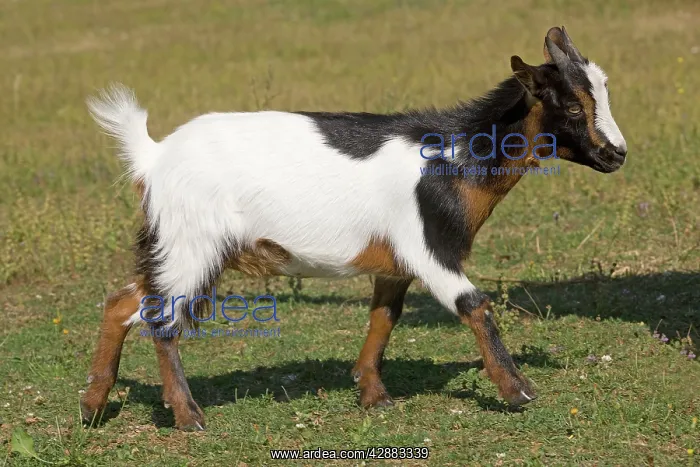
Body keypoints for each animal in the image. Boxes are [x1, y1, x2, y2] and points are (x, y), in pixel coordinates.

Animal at [81, 26, 627, 430]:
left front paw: (373, 394)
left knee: (123, 302)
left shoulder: (395, 262)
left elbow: (384, 316)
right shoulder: (429, 247)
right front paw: (518, 392)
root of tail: (153, 157)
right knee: (161, 318)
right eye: (572, 105)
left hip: (170, 244)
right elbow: (475, 304)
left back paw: (92, 407)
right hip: (192, 243)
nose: (616, 154)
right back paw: (188, 416)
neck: (457, 157)